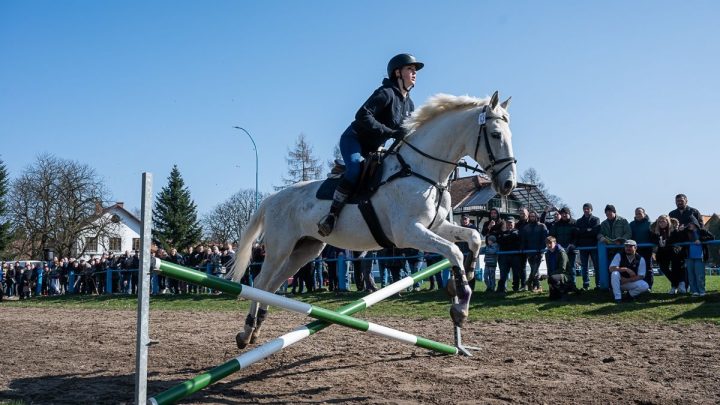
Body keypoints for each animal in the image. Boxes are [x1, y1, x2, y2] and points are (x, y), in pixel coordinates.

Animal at [228, 90, 516, 348]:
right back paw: (246, 332)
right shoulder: (409, 233)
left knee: (272, 286)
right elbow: (454, 251)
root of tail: (272, 199)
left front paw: (467, 275)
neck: (422, 171)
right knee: (261, 283)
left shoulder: (437, 226)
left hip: (305, 250)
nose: (508, 184)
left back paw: (255, 329)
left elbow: (474, 237)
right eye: (495, 134)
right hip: (280, 247)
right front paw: (461, 305)